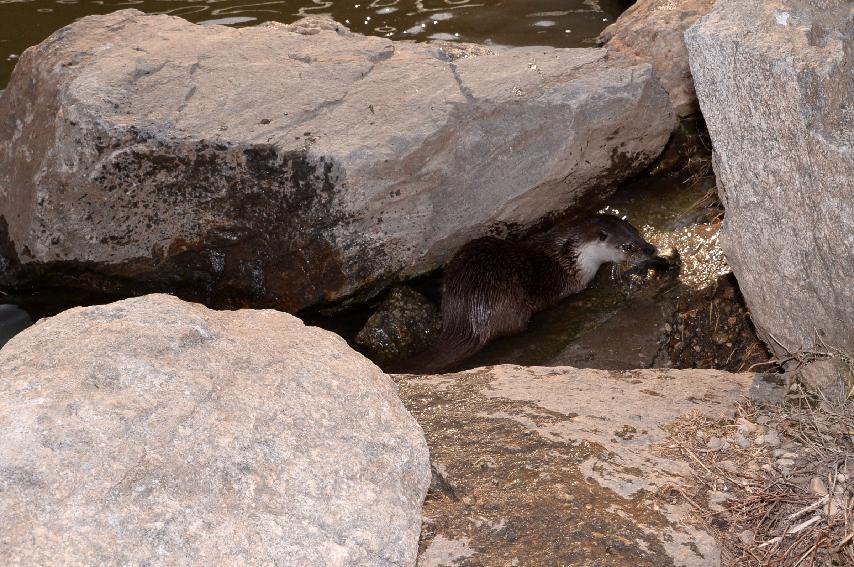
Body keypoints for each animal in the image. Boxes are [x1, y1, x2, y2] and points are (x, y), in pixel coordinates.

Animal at [402, 215, 664, 374]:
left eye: (638, 234)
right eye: (628, 246)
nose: (650, 249)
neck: (573, 256)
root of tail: (467, 321)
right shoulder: (575, 281)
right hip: (510, 303)